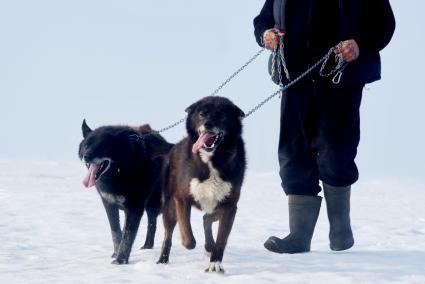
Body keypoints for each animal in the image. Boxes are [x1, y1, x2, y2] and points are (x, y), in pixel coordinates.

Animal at [78, 120, 172, 264]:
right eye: (86, 145)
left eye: (101, 146)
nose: (86, 156)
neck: (120, 171)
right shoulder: (109, 204)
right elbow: (116, 231)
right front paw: (116, 254)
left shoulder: (134, 208)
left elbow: (127, 236)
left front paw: (120, 260)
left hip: (153, 203)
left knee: (152, 224)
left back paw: (150, 248)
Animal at [157, 96, 245, 272]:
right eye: (202, 114)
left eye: (222, 115)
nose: (208, 124)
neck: (211, 160)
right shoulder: (182, 198)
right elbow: (188, 238)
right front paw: (189, 243)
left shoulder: (230, 206)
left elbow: (221, 239)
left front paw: (215, 263)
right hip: (170, 206)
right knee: (168, 235)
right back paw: (162, 259)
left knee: (207, 218)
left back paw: (209, 246)